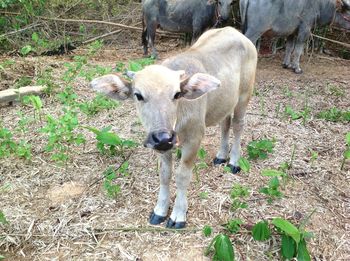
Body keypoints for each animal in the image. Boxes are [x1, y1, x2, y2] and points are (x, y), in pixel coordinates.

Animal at [89, 26, 258, 228]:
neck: (177, 121)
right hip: (225, 101)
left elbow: (182, 176)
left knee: (238, 125)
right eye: (138, 95)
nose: (163, 137)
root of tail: (235, 31)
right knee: (225, 123)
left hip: (244, 95)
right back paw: (221, 156)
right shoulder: (162, 147)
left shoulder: (194, 139)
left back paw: (233, 161)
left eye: (177, 94)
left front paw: (178, 214)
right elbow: (164, 174)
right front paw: (160, 210)